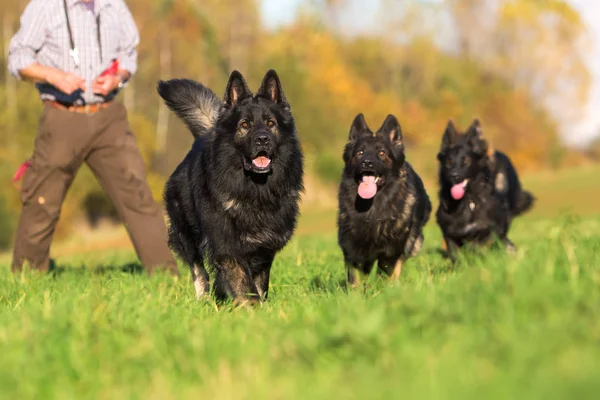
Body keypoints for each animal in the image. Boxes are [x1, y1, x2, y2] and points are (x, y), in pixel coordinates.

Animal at [158, 69, 304, 306]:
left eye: (270, 123)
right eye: (245, 125)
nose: (262, 139)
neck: (255, 191)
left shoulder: (264, 249)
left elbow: (258, 285)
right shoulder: (227, 246)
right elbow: (244, 284)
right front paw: (252, 309)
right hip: (186, 236)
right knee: (199, 270)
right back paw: (204, 299)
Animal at [338, 114, 432, 286]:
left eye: (381, 153)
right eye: (360, 152)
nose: (367, 162)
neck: (372, 209)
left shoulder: (391, 252)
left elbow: (386, 274)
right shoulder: (352, 249)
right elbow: (355, 279)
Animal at [436, 118, 536, 262]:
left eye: (466, 160)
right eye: (449, 162)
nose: (453, 175)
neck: (468, 200)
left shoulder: (493, 228)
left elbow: (482, 243)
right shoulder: (450, 232)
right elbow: (456, 254)